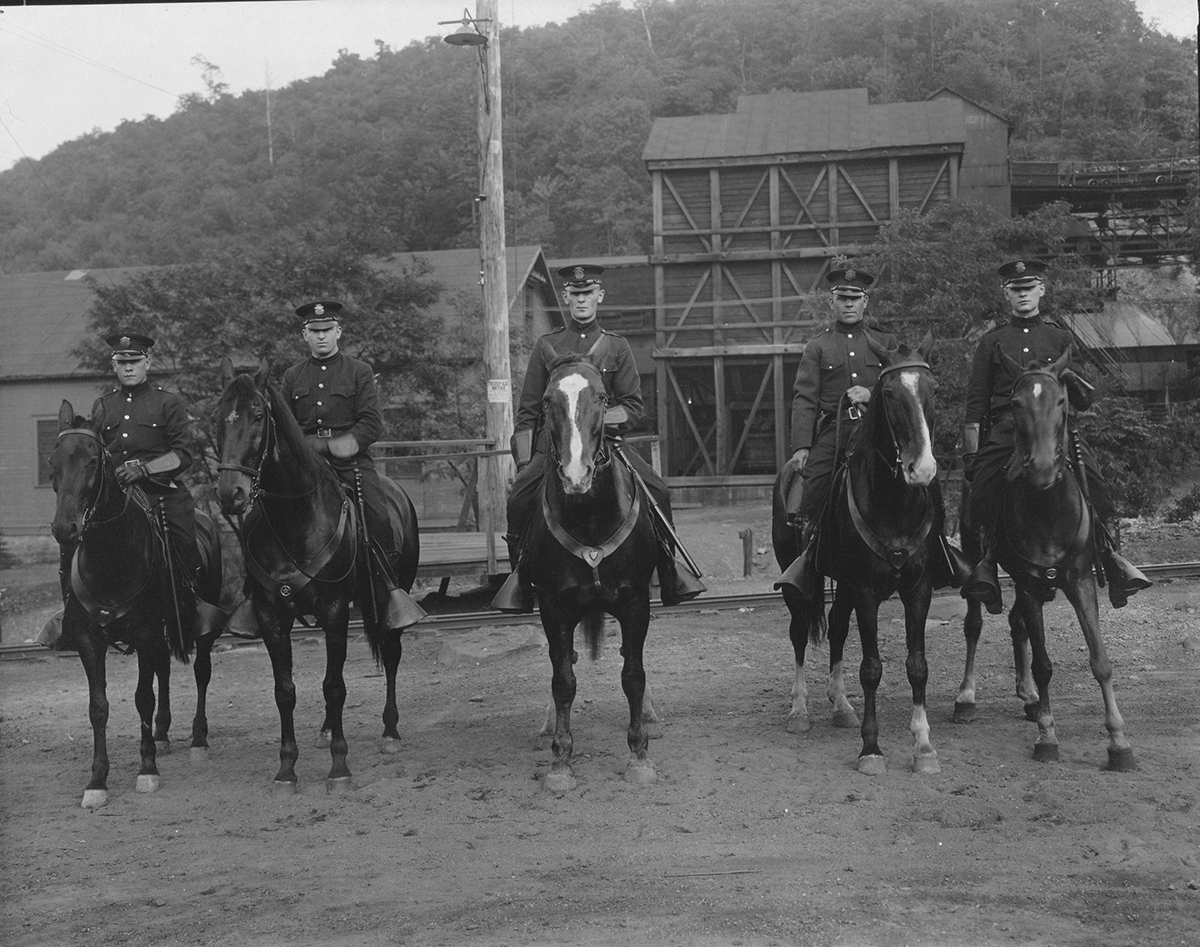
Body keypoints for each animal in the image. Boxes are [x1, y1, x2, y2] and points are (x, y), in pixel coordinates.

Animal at [46, 398, 224, 806]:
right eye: (53, 460)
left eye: (93, 460)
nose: (65, 528)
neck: (111, 556)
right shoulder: (90, 641)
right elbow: (98, 707)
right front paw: (97, 779)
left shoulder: (145, 633)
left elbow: (143, 696)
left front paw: (147, 769)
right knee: (164, 670)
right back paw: (162, 733)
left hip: (199, 628)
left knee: (201, 672)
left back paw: (198, 740)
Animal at [213, 355, 424, 792]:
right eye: (218, 417)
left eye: (258, 416)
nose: (230, 494)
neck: (296, 518)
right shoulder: (272, 617)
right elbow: (285, 690)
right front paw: (286, 768)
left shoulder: (335, 612)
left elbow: (334, 686)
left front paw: (339, 766)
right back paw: (327, 729)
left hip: (389, 597)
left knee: (391, 655)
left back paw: (390, 731)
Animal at [501, 350, 662, 787]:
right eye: (546, 402)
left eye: (603, 398)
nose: (576, 475)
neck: (589, 516)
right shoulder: (553, 606)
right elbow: (563, 680)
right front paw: (560, 759)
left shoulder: (636, 602)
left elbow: (633, 675)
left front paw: (639, 755)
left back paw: (648, 713)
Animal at [772, 328, 950, 772]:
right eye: (888, 393)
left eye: (934, 388)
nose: (922, 469)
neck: (894, 503)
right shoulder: (867, 590)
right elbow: (871, 667)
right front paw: (871, 748)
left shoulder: (917, 589)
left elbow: (917, 666)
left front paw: (924, 746)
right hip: (800, 580)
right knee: (799, 633)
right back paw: (799, 711)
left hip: (846, 585)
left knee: (836, 626)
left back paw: (841, 705)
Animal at [955, 352, 1132, 768]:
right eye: (1017, 403)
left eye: (1062, 400)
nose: (1041, 468)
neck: (1048, 507)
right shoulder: (1029, 584)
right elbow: (1043, 664)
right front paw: (1047, 736)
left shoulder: (1081, 580)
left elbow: (1100, 660)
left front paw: (1118, 741)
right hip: (977, 562)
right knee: (974, 624)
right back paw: (967, 697)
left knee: (1016, 624)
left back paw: (1029, 697)